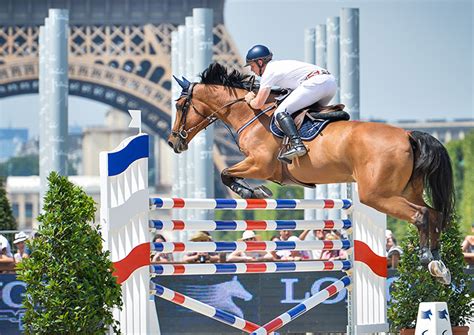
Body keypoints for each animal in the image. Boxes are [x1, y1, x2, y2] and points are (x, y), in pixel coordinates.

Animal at [169, 62, 456, 284]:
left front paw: (254, 191)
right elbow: (228, 174)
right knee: (434, 213)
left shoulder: (260, 164)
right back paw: (440, 264)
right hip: (404, 190)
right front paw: (255, 190)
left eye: (181, 105)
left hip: (376, 194)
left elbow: (226, 174)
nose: (174, 143)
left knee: (420, 215)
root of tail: (408, 134)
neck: (250, 113)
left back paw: (427, 260)